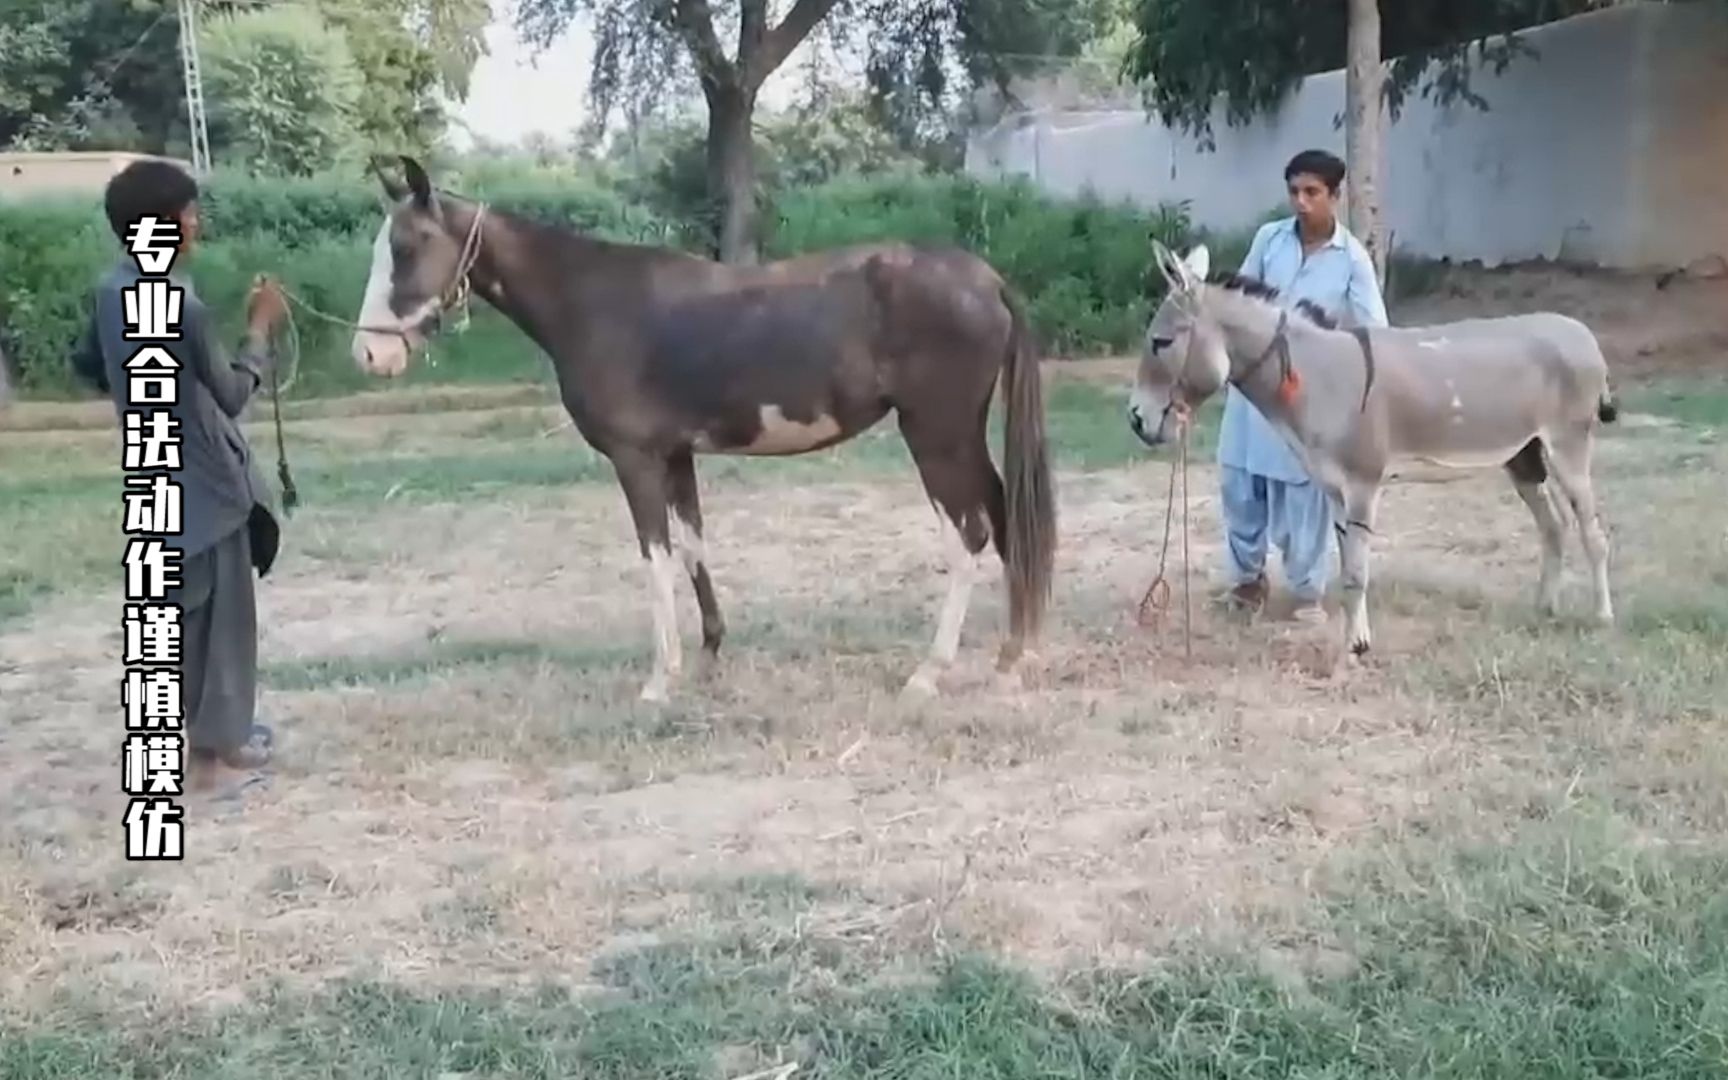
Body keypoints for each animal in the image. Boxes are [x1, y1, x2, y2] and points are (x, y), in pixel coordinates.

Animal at [347, 155, 1050, 705]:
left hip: (935, 434)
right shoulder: (677, 455)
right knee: (1005, 517)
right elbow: (692, 548)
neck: (591, 302)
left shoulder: (634, 459)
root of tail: (985, 278)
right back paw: (1014, 658)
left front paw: (661, 680)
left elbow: (654, 557)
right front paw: (711, 658)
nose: (370, 354)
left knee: (969, 536)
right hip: (959, 436)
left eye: (407, 247)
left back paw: (933, 671)